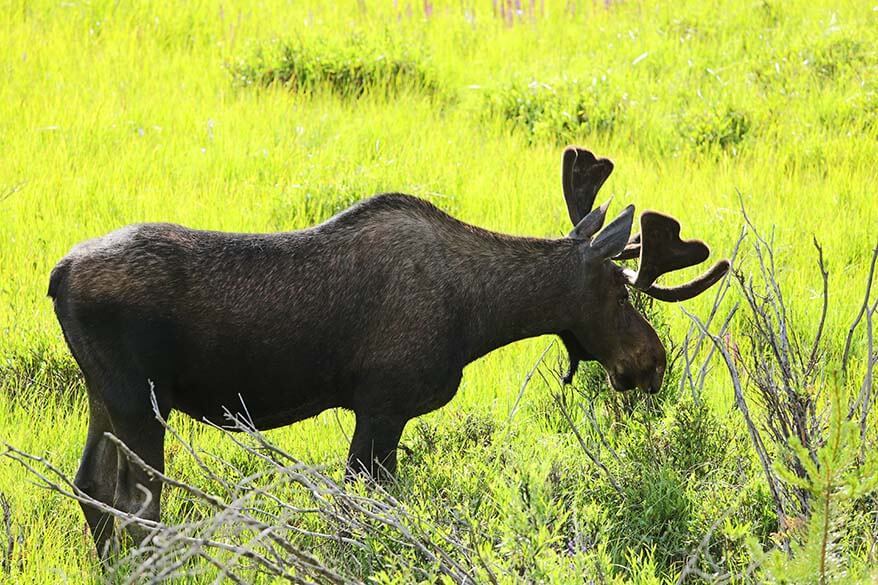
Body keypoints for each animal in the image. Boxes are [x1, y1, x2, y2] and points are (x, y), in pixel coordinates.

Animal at [51, 144, 732, 556]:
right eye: (618, 292)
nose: (652, 362)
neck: (480, 316)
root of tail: (56, 277)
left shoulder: (380, 411)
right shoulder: (383, 404)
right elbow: (362, 505)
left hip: (105, 395)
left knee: (91, 487)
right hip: (141, 401)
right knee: (136, 505)